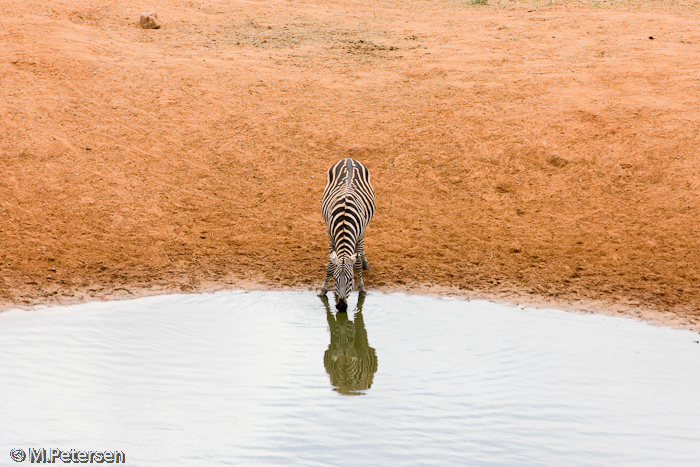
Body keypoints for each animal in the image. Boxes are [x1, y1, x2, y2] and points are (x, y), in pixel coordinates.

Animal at [320, 159, 374, 312]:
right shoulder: (331, 237)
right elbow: (330, 265)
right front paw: (323, 289)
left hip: (364, 228)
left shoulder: (360, 236)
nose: (341, 307)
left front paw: (362, 289)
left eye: (350, 280)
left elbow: (357, 264)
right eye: (335, 279)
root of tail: (349, 159)